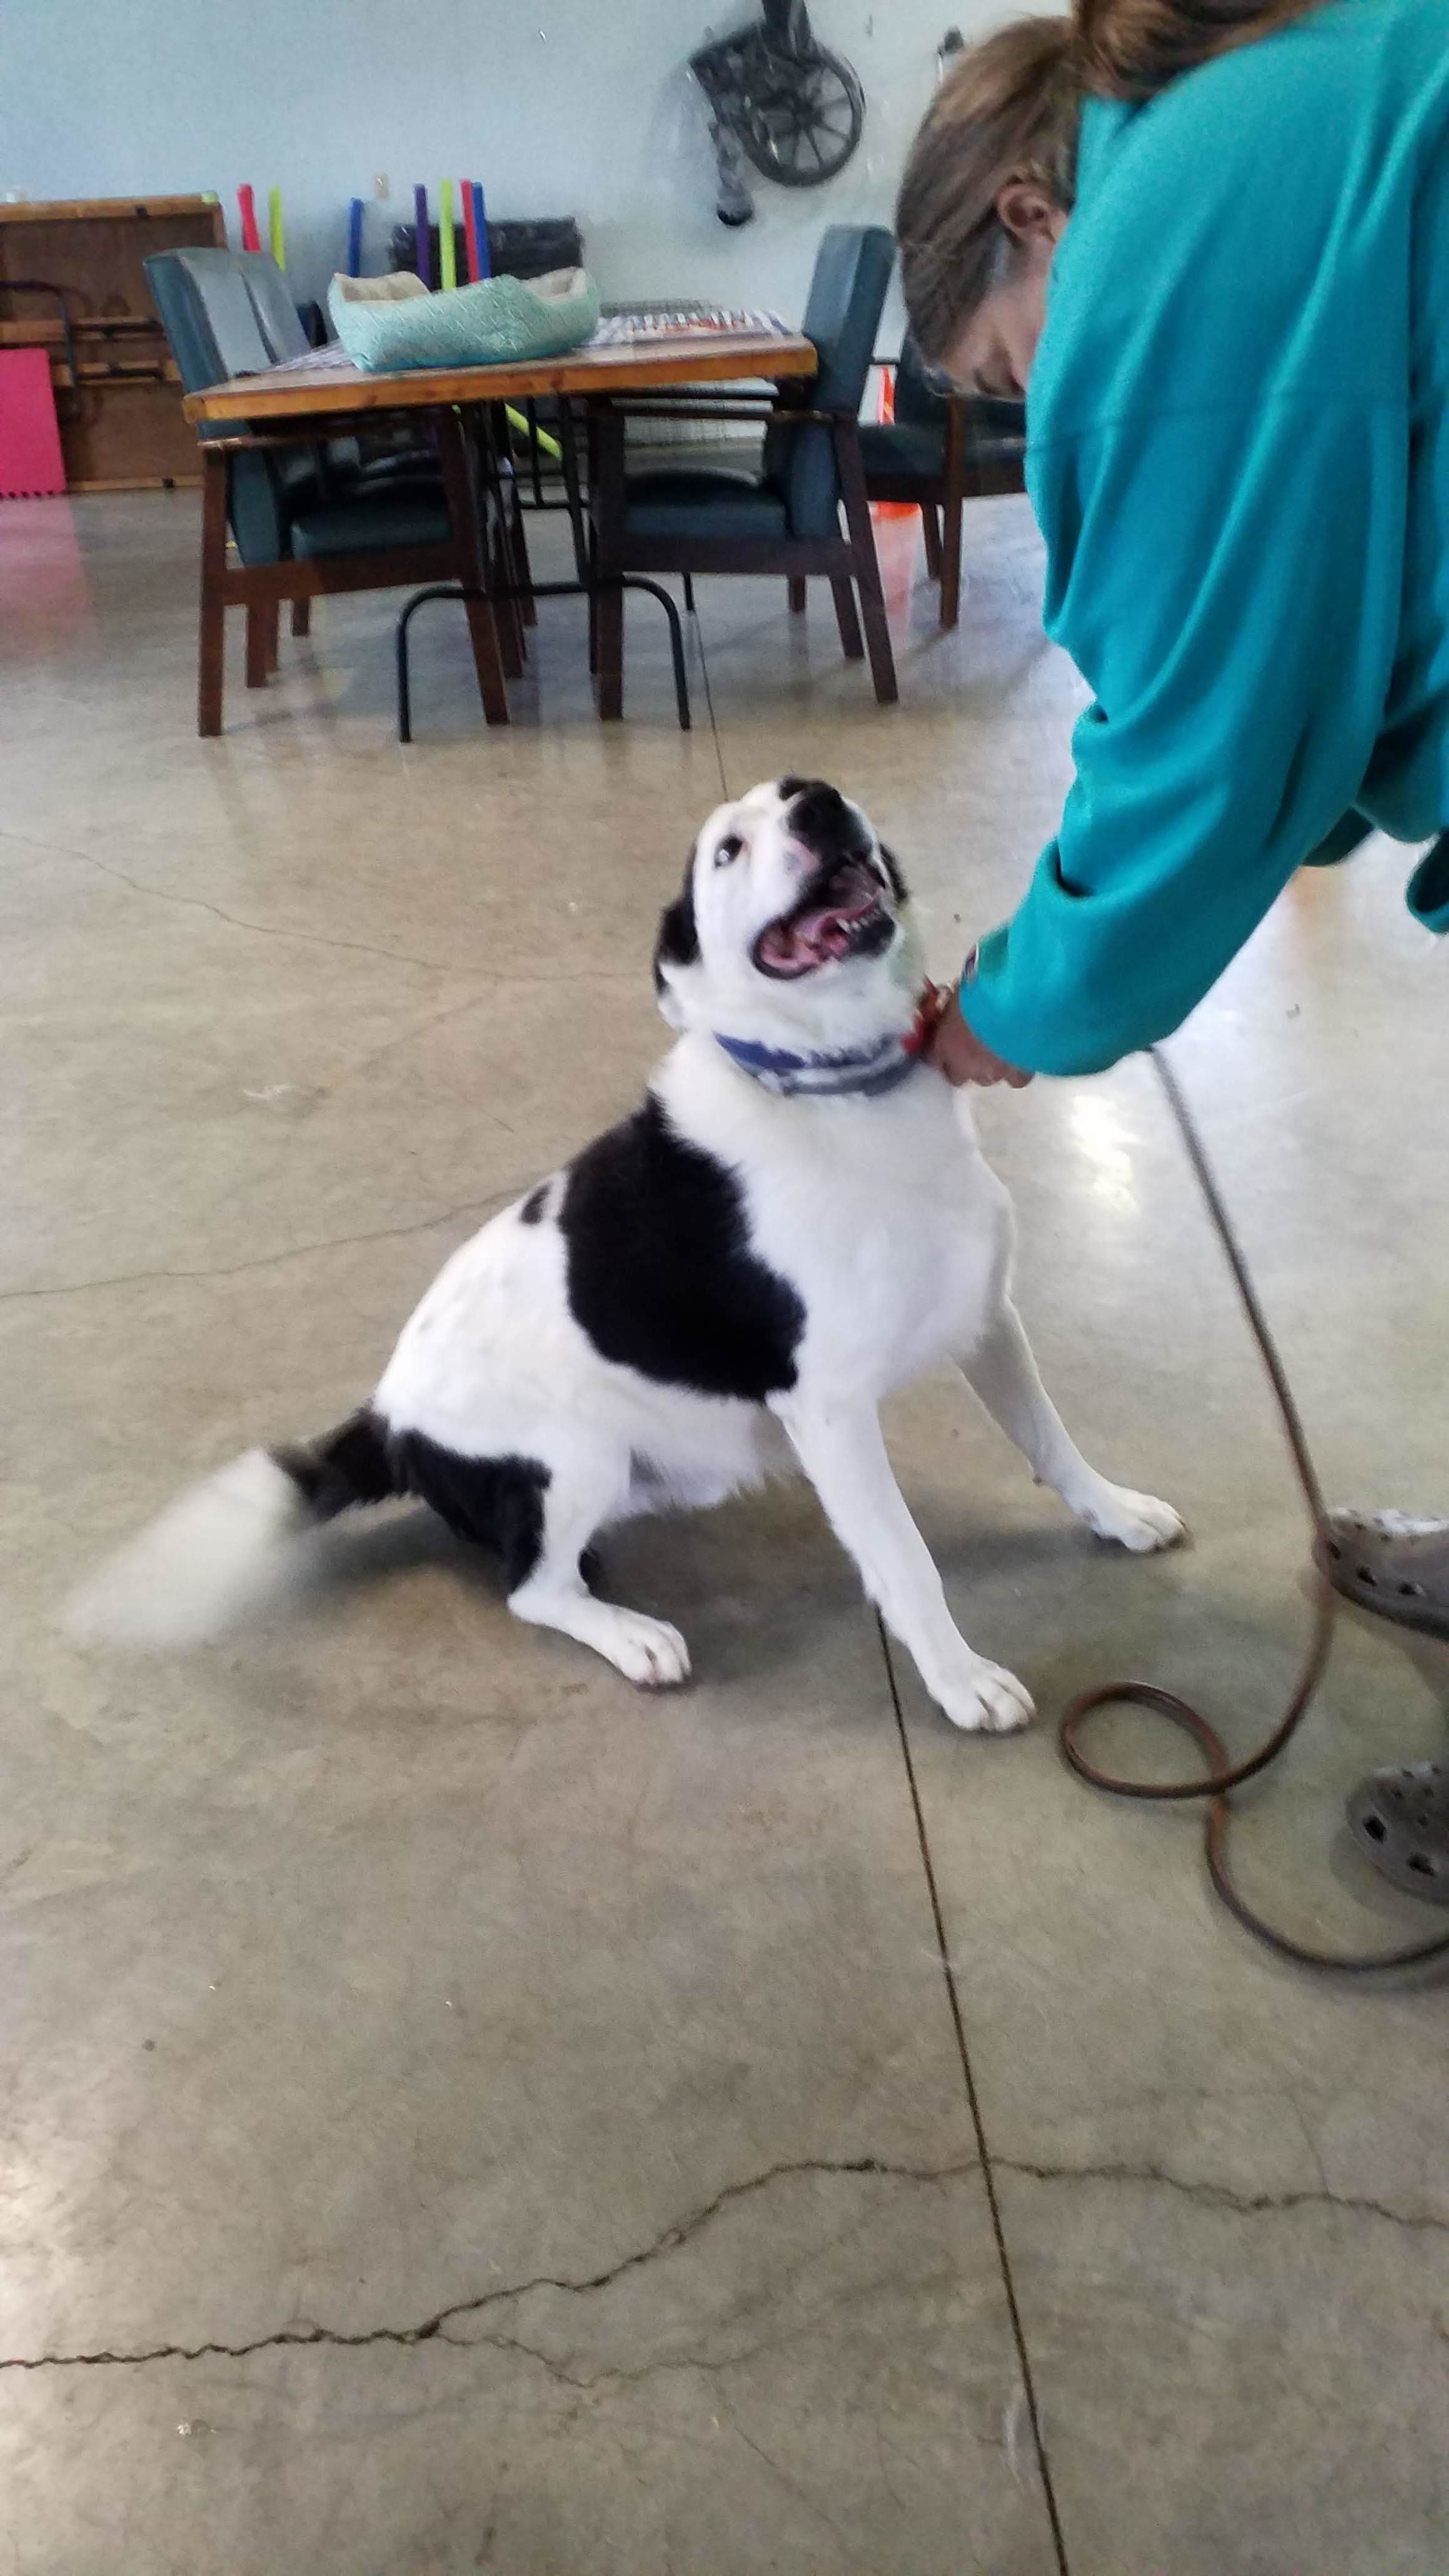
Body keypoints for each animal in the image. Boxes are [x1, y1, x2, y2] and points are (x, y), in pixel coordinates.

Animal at [79, 762, 1181, 1731]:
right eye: (727, 851)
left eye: (805, 790)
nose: (821, 806)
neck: (834, 1093)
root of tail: (386, 1419)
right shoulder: (828, 1408)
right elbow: (906, 1560)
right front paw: (960, 1682)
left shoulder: (986, 1320)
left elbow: (1052, 1442)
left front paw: (1116, 1512)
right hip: (578, 1456)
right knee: (531, 1589)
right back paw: (630, 1634)